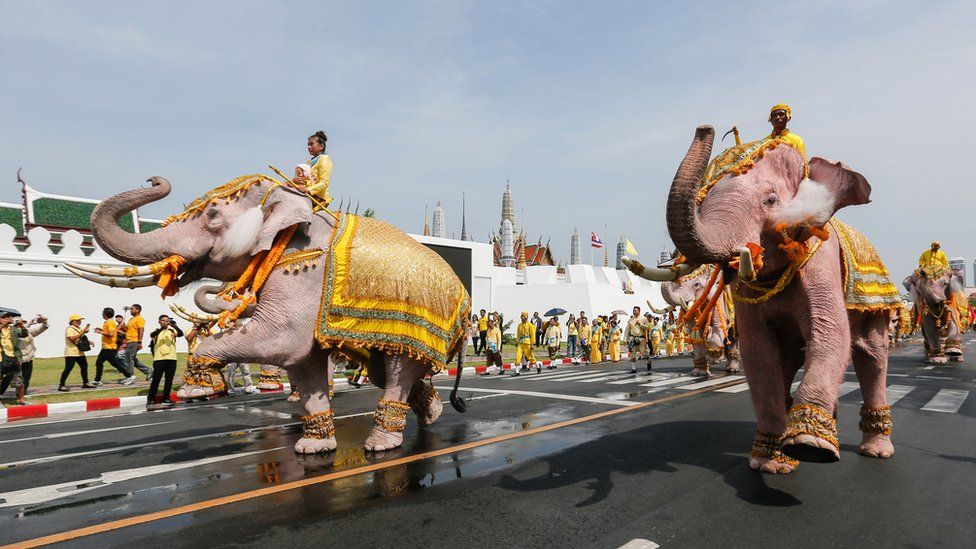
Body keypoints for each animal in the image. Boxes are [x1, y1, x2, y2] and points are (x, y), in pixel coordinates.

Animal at [624, 126, 900, 474]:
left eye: (770, 200)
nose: (705, 128)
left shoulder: (820, 259)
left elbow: (830, 332)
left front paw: (810, 446)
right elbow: (758, 351)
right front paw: (768, 464)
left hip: (877, 303)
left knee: (872, 355)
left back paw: (875, 450)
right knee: (790, 357)